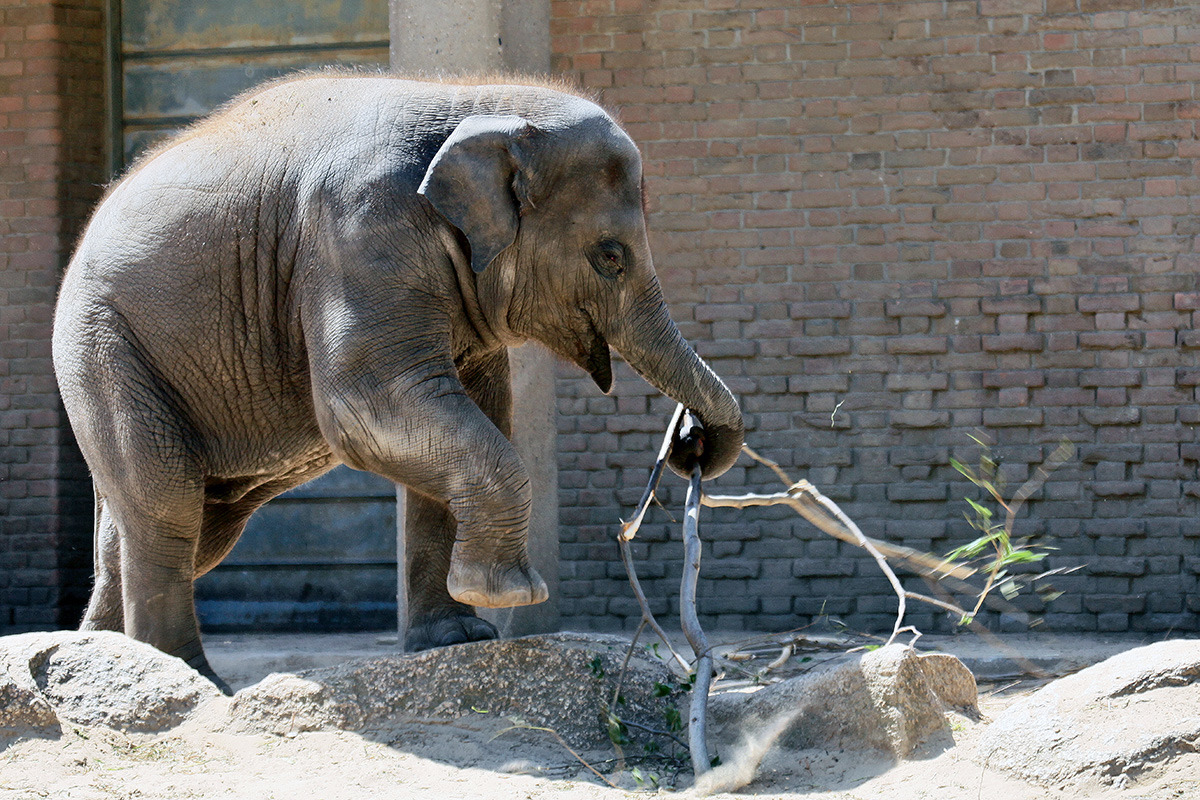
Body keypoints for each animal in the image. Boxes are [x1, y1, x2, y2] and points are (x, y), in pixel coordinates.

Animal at [52, 73, 745, 691]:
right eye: (610, 257)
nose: (689, 441)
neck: (472, 100)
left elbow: (472, 417)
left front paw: (458, 640)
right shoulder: (360, 236)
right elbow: (369, 403)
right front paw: (510, 594)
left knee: (188, 525)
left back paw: (95, 659)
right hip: (102, 344)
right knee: (169, 502)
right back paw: (186, 678)